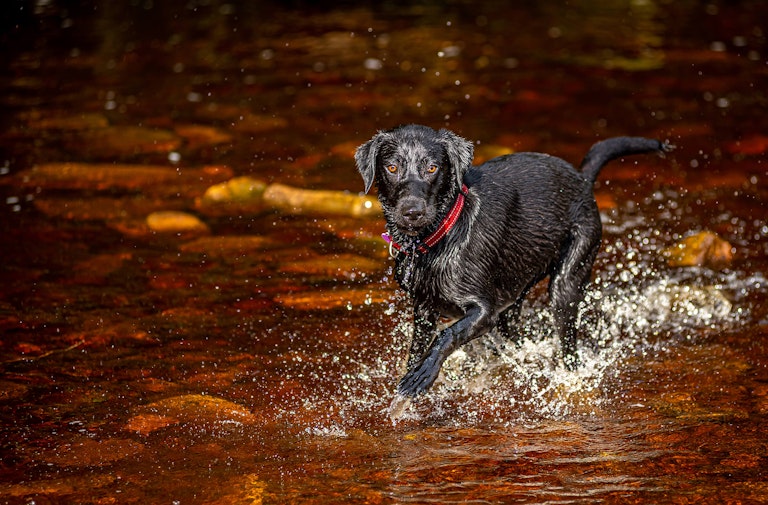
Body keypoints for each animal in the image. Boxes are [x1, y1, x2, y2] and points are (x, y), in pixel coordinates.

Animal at [356, 125, 672, 398]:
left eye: (432, 167)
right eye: (392, 167)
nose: (412, 212)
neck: (437, 237)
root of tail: (582, 179)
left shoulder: (484, 312)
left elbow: (447, 334)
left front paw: (422, 375)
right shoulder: (424, 309)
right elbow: (418, 347)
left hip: (568, 278)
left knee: (569, 344)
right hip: (513, 304)